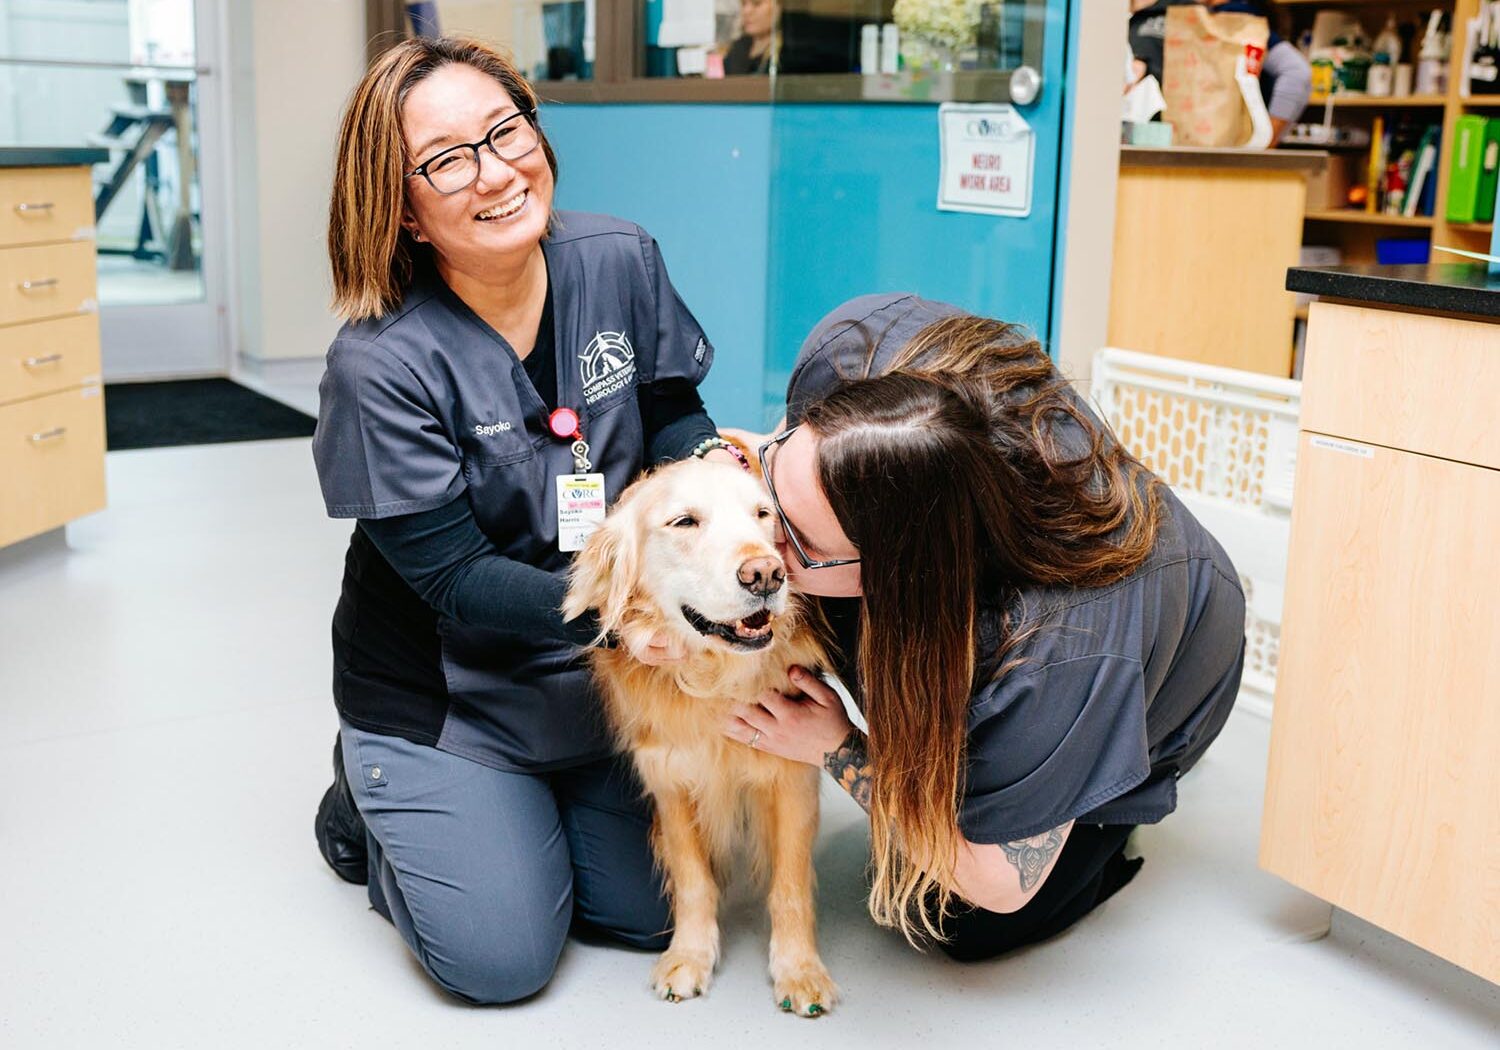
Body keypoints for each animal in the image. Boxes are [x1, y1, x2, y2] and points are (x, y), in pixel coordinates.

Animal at [564, 456, 840, 1020]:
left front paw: (799, 969)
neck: (716, 679)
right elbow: (693, 881)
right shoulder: (670, 780)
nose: (766, 573)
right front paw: (689, 957)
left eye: (763, 515)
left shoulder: (793, 777)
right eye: (685, 522)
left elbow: (790, 885)